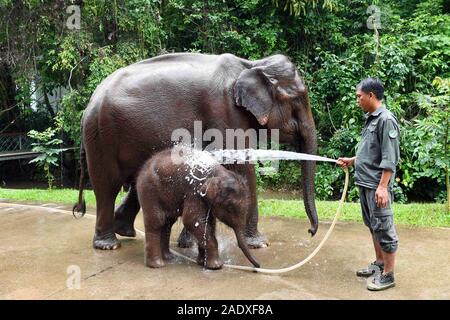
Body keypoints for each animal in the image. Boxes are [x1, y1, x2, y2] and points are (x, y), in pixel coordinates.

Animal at [74, 53, 318, 250]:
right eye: (298, 98)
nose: (311, 232)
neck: (251, 64)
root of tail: (90, 102)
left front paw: (189, 242)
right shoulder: (225, 112)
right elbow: (241, 168)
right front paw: (259, 244)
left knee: (136, 180)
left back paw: (124, 231)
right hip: (101, 136)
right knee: (107, 186)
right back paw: (108, 245)